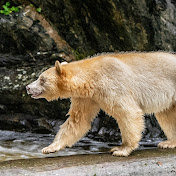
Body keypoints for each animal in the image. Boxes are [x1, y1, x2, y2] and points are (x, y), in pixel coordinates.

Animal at [26, 51, 176, 156]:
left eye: (42, 79)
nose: (27, 87)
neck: (92, 76)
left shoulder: (113, 85)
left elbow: (128, 113)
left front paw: (121, 149)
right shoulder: (87, 97)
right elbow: (78, 120)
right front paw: (50, 147)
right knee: (166, 116)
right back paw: (168, 143)